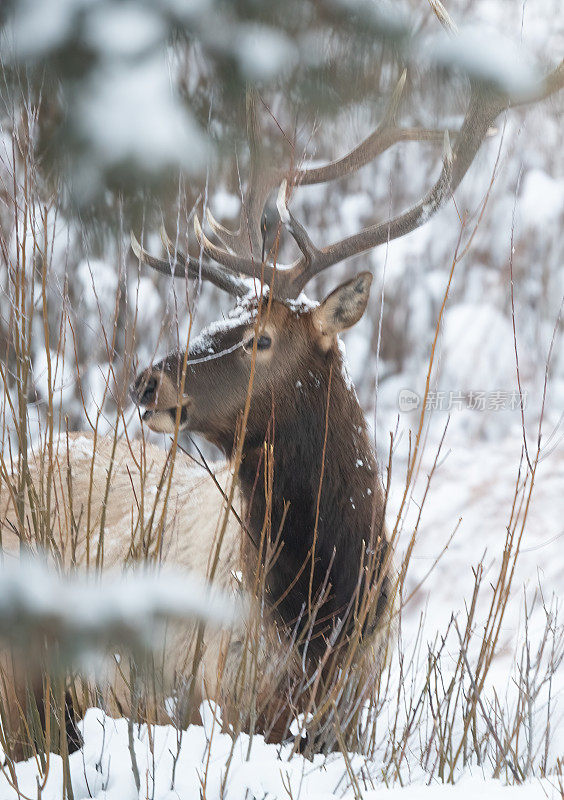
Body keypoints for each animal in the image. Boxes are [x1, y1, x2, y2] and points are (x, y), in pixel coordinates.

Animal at [0, 61, 560, 756]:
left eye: (261, 338)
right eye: (221, 317)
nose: (146, 382)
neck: (319, 618)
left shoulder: (342, 720)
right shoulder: (215, 703)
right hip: (23, 687)